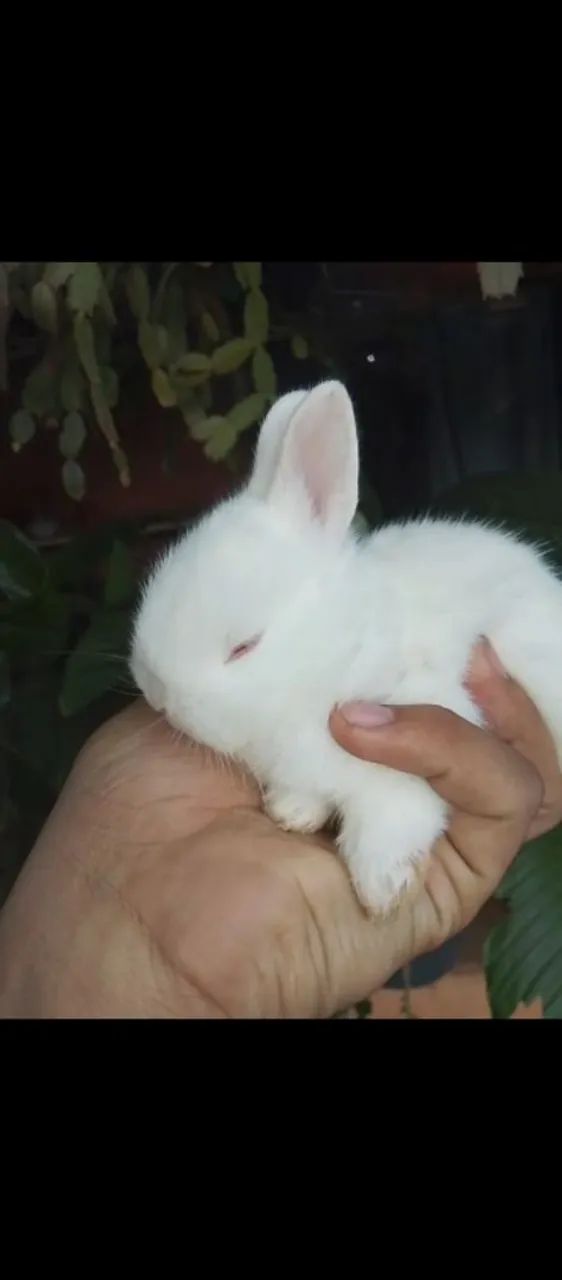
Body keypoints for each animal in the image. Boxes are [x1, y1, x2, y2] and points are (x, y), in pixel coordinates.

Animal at [130, 380, 562, 914]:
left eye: (244, 647)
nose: (157, 695)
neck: (338, 656)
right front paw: (293, 811)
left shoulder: (428, 725)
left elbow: (394, 812)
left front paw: (383, 888)